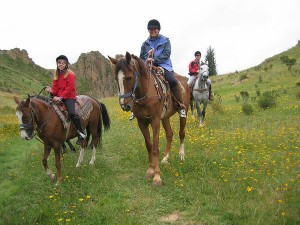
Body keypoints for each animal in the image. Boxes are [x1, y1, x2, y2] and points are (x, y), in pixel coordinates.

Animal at [108, 51, 190, 185]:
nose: (125, 105)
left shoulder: (155, 121)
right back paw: (166, 158)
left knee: (181, 133)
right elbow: (149, 146)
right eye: (116, 78)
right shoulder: (142, 122)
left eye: (129, 77)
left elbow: (155, 148)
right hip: (165, 117)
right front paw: (150, 170)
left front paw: (157, 176)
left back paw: (182, 155)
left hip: (183, 113)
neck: (146, 92)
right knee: (169, 134)